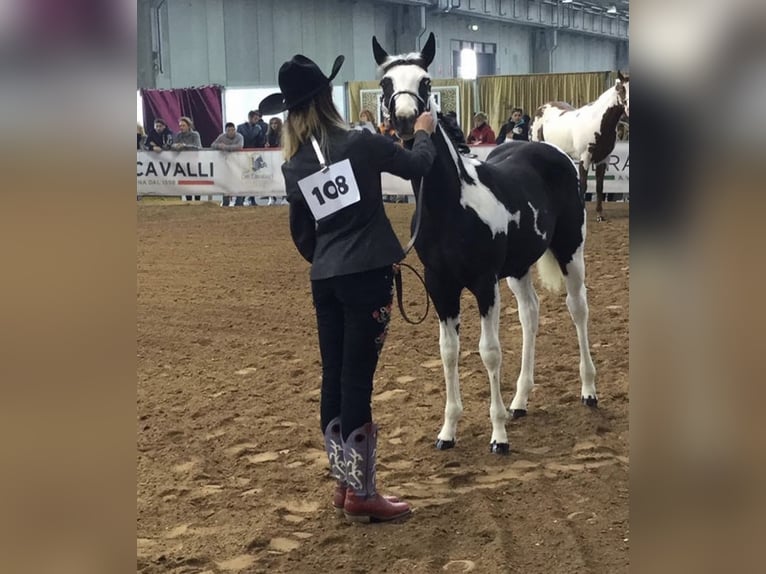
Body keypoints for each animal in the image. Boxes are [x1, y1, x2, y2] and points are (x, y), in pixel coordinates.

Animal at [372, 32, 597, 454]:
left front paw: (498, 436)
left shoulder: (482, 283)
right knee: (530, 315)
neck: (451, 204)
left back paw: (589, 390)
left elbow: (489, 352)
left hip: (570, 251)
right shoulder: (440, 285)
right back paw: (520, 401)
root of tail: (550, 149)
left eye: (426, 82)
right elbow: (449, 352)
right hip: (518, 269)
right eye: (386, 84)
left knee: (578, 309)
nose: (407, 120)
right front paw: (448, 431)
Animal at [530, 73, 629, 222]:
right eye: (622, 89)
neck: (598, 121)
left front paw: (600, 215)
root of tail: (541, 108)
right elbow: (583, 185)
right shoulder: (585, 157)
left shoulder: (603, 159)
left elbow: (600, 186)